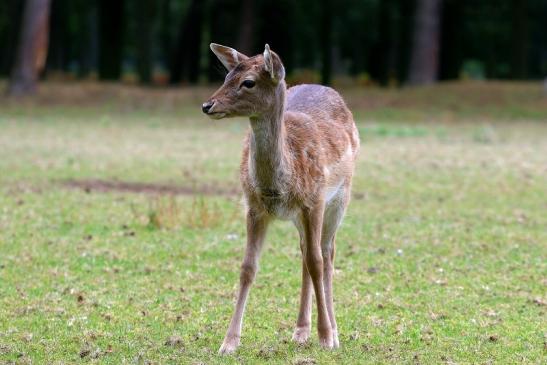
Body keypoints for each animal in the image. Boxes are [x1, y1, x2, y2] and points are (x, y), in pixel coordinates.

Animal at [201, 42, 360, 352]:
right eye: (226, 76)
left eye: (248, 82)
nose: (207, 105)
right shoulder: (253, 206)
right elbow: (248, 267)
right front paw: (229, 342)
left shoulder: (314, 201)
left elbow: (318, 262)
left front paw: (326, 337)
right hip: (300, 216)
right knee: (305, 253)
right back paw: (300, 331)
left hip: (341, 197)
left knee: (326, 254)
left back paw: (334, 331)